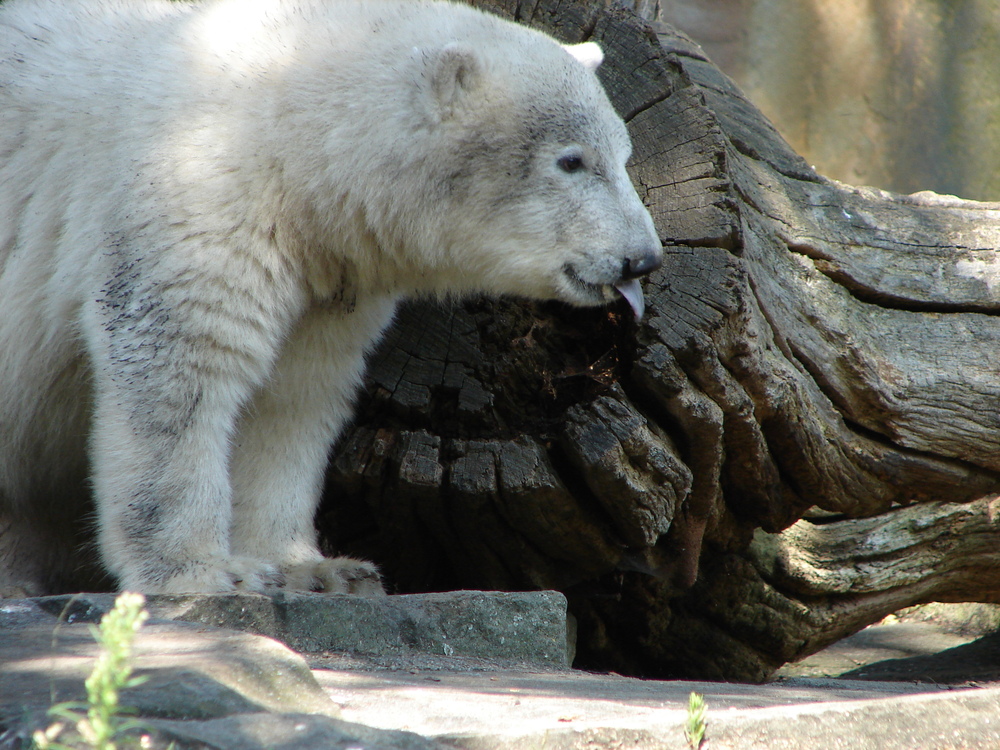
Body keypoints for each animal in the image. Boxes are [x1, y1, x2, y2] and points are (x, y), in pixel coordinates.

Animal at [0, 0, 664, 600]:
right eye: (571, 160)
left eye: (625, 155)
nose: (643, 259)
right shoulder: (194, 196)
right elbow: (180, 367)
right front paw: (203, 571)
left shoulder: (328, 273)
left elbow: (294, 395)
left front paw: (316, 568)